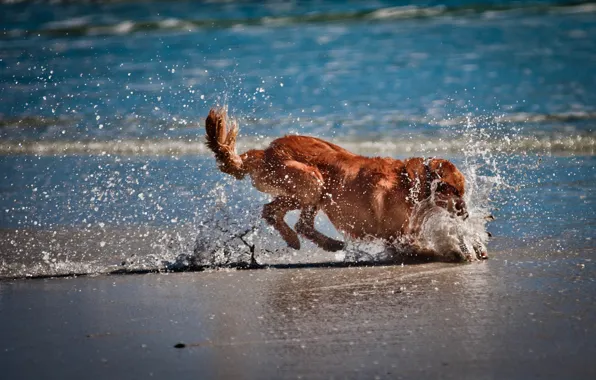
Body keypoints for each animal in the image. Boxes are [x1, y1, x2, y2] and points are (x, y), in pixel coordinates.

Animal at [204, 107, 484, 262]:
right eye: (456, 191)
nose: (466, 213)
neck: (412, 184)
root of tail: (266, 152)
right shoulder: (397, 236)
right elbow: (422, 248)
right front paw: (455, 253)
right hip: (312, 181)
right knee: (276, 213)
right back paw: (300, 240)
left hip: (314, 190)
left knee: (294, 220)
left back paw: (325, 243)